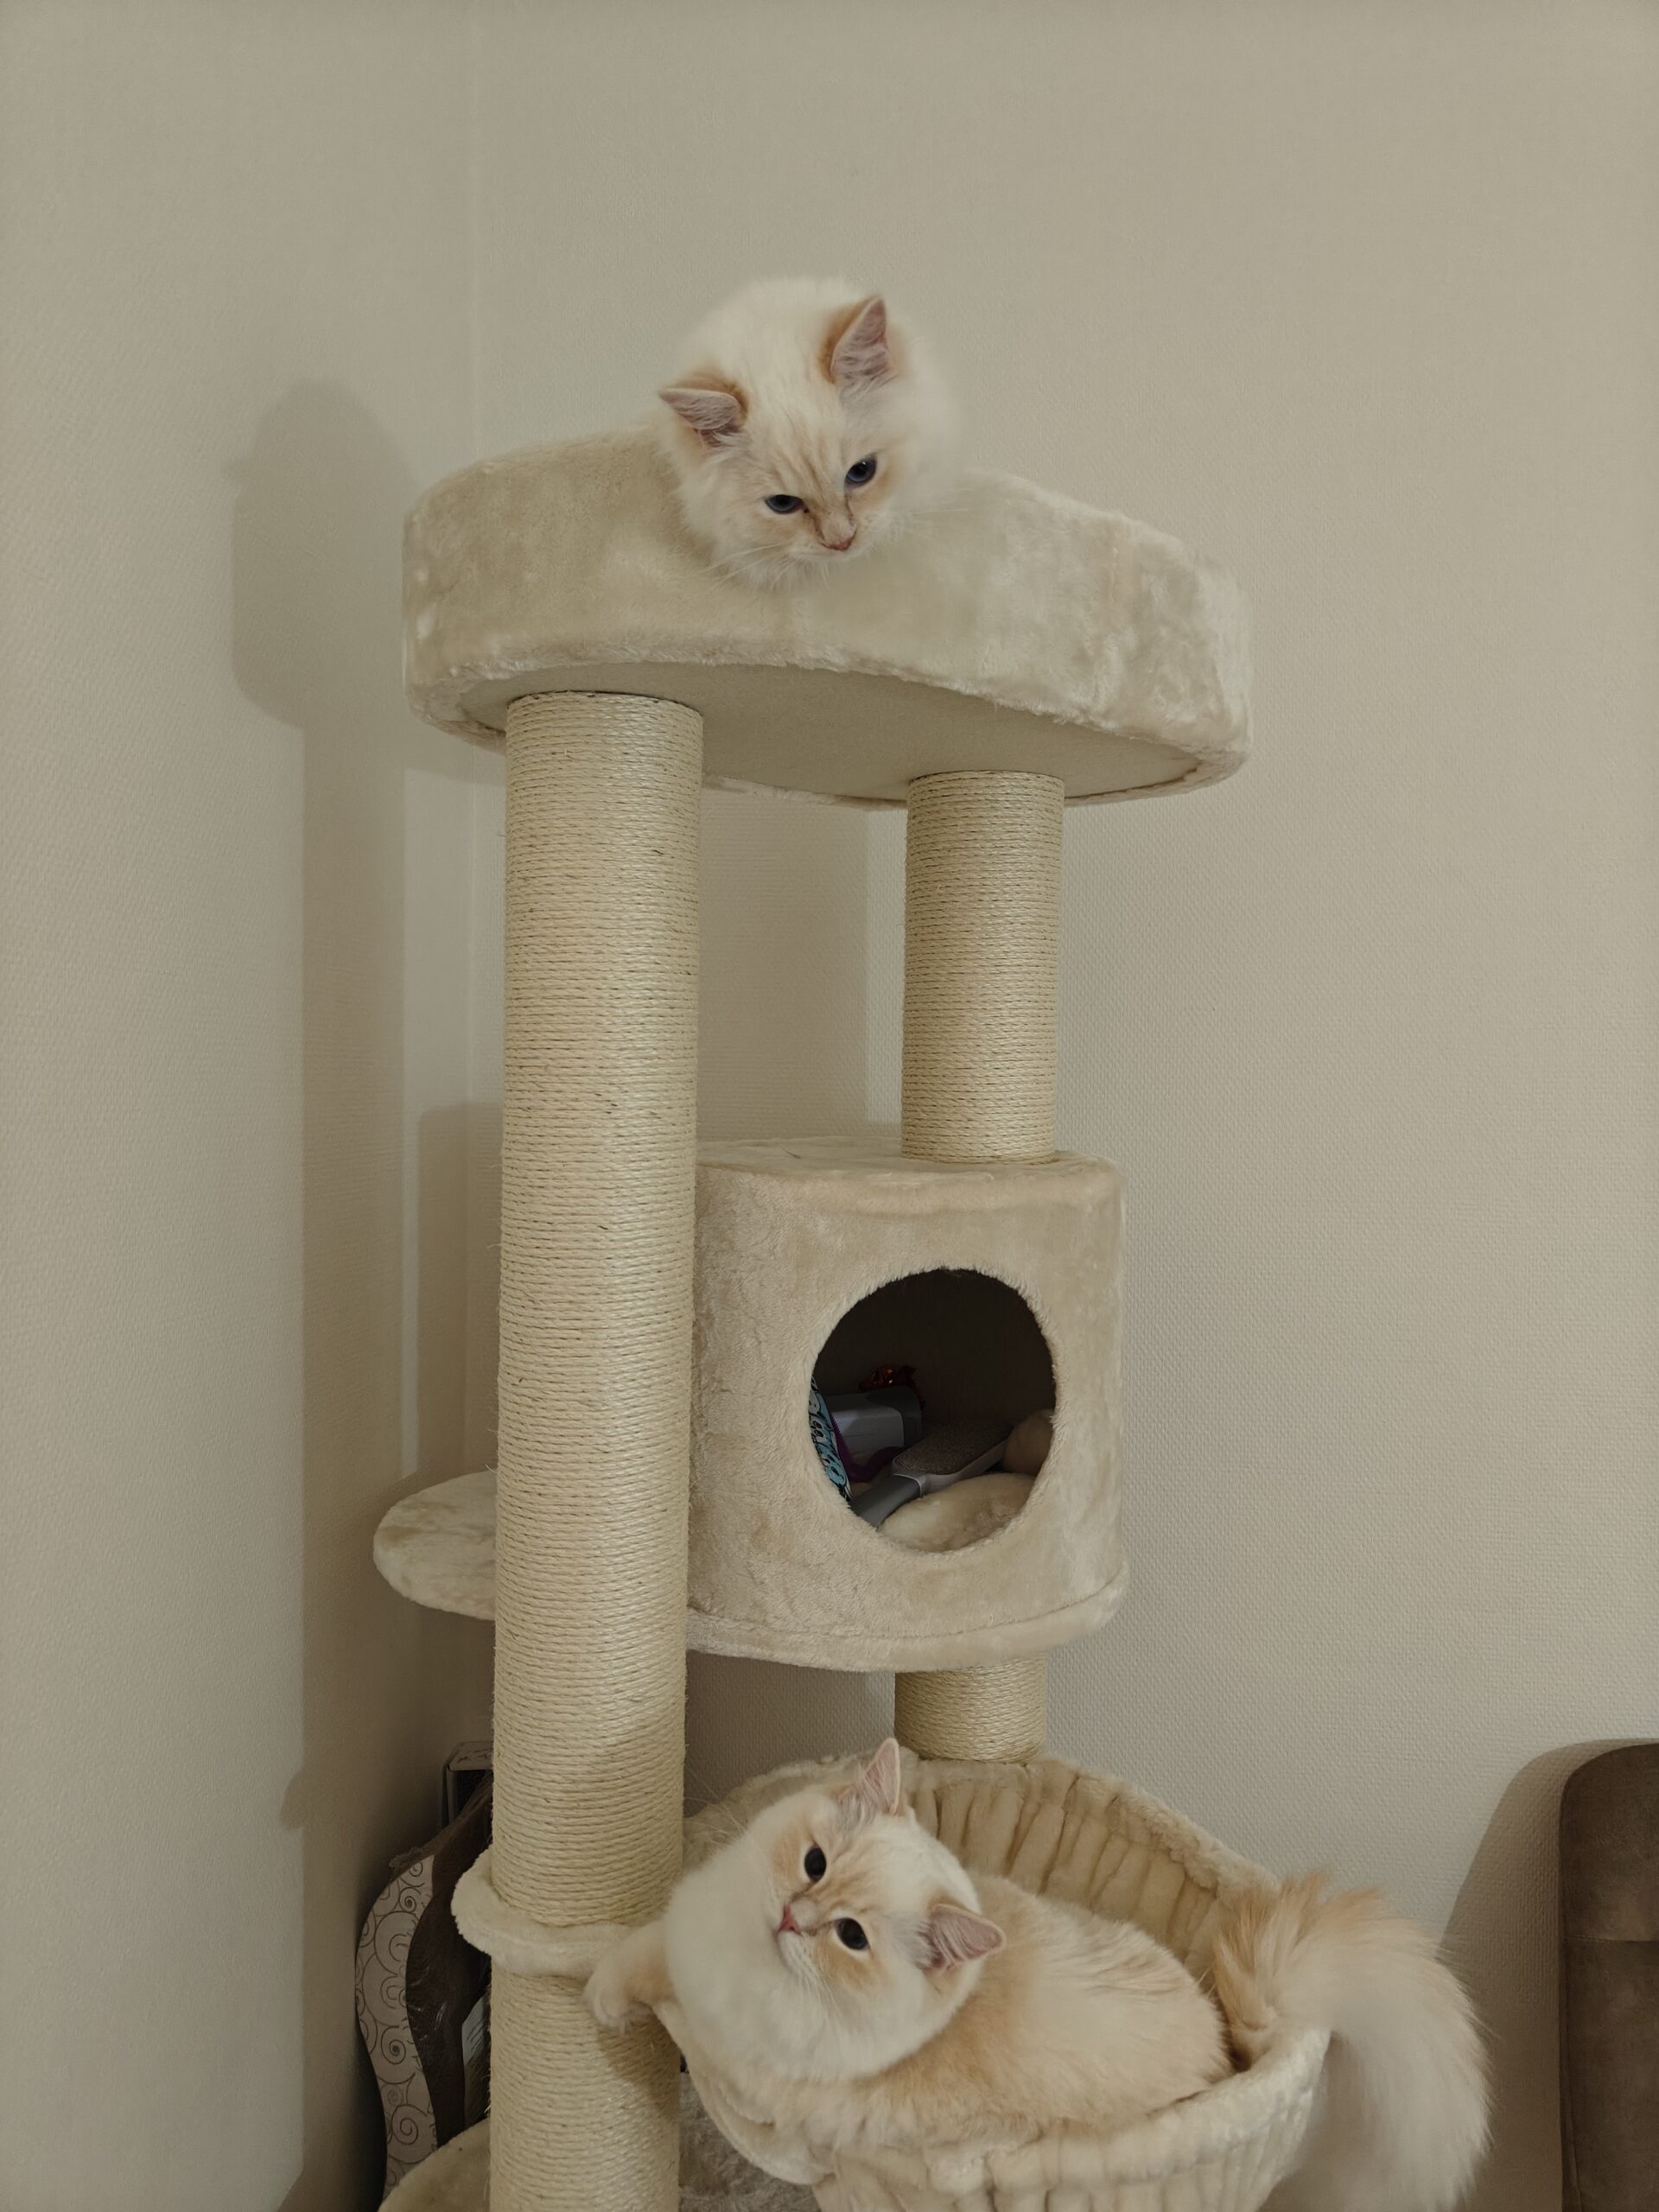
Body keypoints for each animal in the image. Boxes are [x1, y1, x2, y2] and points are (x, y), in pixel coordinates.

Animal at [586, 1740, 1489, 2210]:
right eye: (813, 1863)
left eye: (850, 1938)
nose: (791, 1920)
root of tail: (1235, 2045)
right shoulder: (689, 1945)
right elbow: (638, 1945)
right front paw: (595, 1978)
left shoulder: (736, 2050)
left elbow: (646, 1975)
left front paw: (597, 2003)